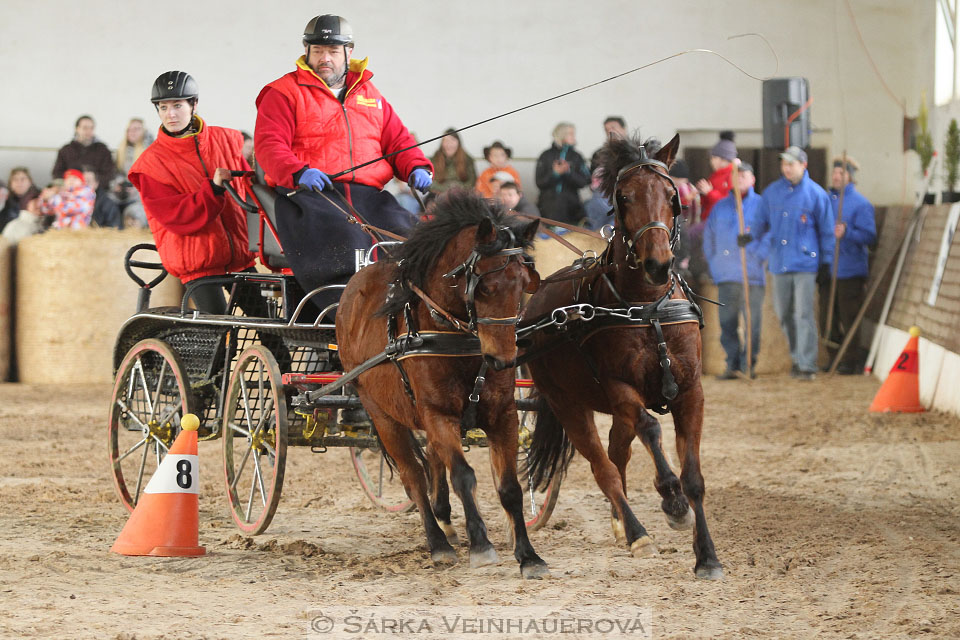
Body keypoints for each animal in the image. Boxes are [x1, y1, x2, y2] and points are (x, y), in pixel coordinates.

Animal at [336, 191, 548, 580]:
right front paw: (481, 545)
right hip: (381, 413)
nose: (502, 360)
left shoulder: (503, 415)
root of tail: (354, 286)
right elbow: (463, 475)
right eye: (486, 287)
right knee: (414, 476)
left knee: (433, 462)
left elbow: (509, 486)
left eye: (524, 286)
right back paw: (438, 543)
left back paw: (446, 521)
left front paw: (528, 555)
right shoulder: (438, 415)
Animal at [524, 135, 720, 580]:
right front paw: (671, 499)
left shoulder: (692, 391)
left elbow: (694, 476)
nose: (659, 264)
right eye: (625, 197)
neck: (648, 308)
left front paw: (707, 555)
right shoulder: (621, 389)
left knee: (617, 453)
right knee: (605, 467)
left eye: (672, 196)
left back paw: (621, 524)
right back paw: (636, 533)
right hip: (567, 403)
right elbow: (650, 428)